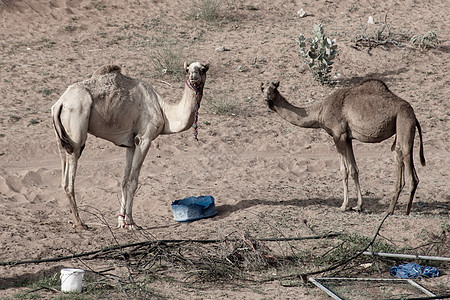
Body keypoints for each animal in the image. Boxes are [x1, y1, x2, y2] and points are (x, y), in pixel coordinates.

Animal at [51, 61, 210, 230]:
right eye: (187, 70)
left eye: (202, 69)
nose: (193, 76)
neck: (163, 111)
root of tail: (60, 103)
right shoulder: (144, 139)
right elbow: (133, 181)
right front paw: (132, 223)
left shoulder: (131, 144)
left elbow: (124, 180)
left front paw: (121, 221)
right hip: (76, 132)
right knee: (70, 180)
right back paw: (80, 223)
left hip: (62, 140)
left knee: (64, 176)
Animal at [260, 79, 426, 216]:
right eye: (262, 88)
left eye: (273, 89)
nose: (266, 97)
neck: (320, 111)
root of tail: (413, 113)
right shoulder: (347, 137)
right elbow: (354, 169)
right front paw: (358, 206)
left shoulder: (338, 135)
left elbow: (343, 170)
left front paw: (344, 205)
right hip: (402, 127)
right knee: (401, 154)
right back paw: (392, 209)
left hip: (404, 120)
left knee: (406, 160)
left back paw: (403, 211)